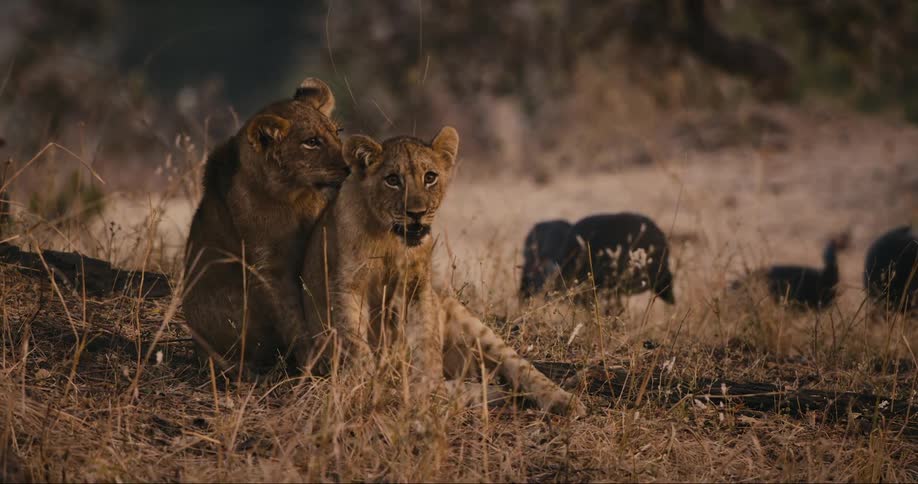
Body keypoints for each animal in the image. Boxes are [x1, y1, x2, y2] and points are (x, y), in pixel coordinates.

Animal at [183, 78, 349, 373]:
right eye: (312, 142)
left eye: (337, 132)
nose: (349, 166)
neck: (296, 197)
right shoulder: (269, 268)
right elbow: (292, 318)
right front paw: (311, 363)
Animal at [299, 128, 585, 416]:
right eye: (392, 180)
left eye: (430, 177)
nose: (417, 214)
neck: (389, 239)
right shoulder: (346, 284)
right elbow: (354, 339)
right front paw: (363, 384)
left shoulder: (418, 286)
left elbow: (425, 341)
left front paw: (425, 388)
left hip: (470, 323)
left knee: (521, 367)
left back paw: (564, 401)